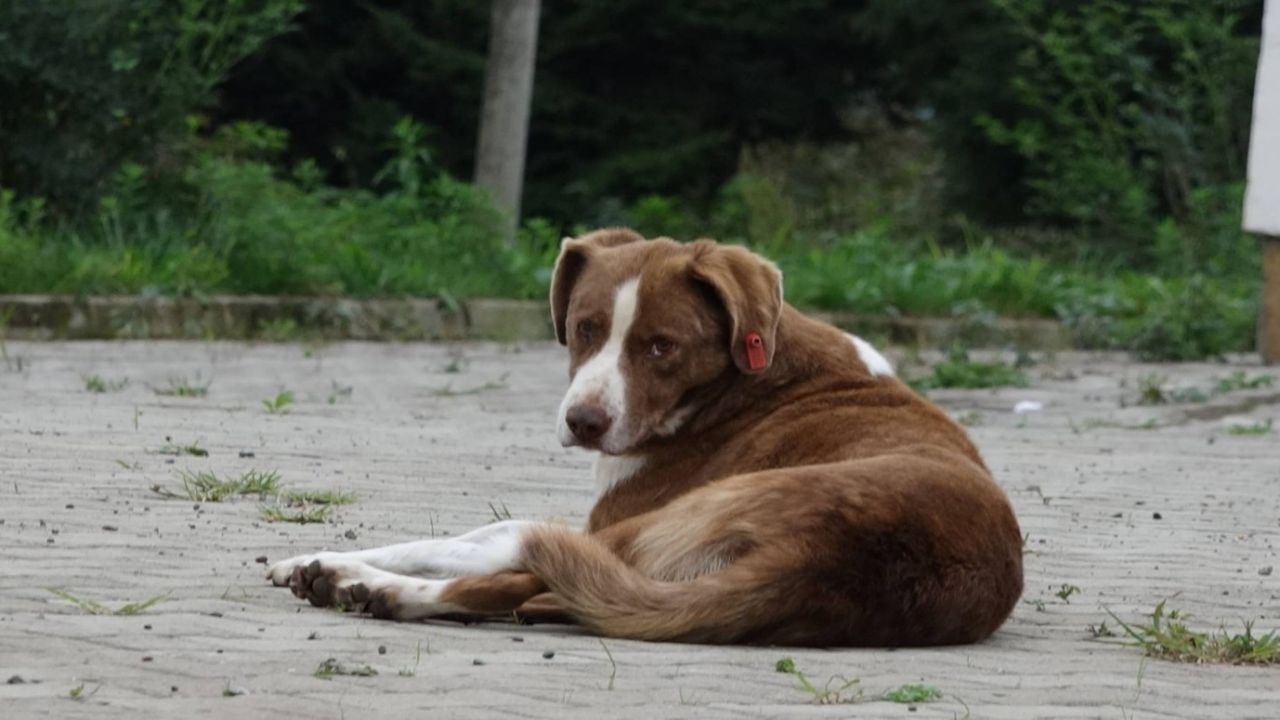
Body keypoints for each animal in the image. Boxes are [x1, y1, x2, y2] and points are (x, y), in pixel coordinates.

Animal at [264, 228, 1024, 645]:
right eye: (584, 328)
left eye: (661, 346)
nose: (584, 423)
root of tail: (820, 564)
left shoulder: (610, 521)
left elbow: (447, 542)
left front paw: (323, 558)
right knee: (528, 587)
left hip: (657, 526)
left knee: (504, 563)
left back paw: (366, 586)